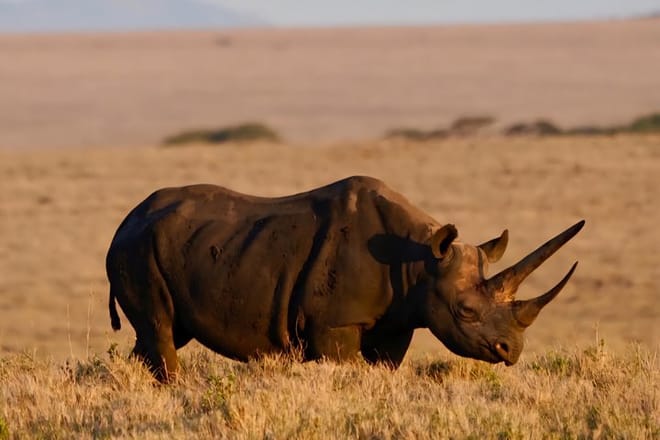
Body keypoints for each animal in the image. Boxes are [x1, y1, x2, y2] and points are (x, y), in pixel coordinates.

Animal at [106, 176, 584, 382]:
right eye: (465, 311)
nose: (511, 351)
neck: (420, 261)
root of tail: (125, 220)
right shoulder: (334, 324)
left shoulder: (395, 321)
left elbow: (384, 369)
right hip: (135, 250)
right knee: (160, 329)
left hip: (164, 247)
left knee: (158, 335)